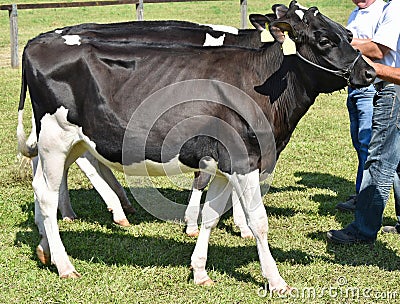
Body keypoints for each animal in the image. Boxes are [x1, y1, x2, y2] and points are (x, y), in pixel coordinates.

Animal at [17, 1, 376, 292]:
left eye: (347, 34)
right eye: (324, 40)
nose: (370, 71)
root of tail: (38, 42)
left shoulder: (221, 162)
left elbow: (212, 216)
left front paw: (200, 271)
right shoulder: (244, 159)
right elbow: (258, 220)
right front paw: (276, 280)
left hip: (74, 140)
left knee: (44, 183)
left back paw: (46, 248)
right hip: (55, 137)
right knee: (47, 194)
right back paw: (65, 263)